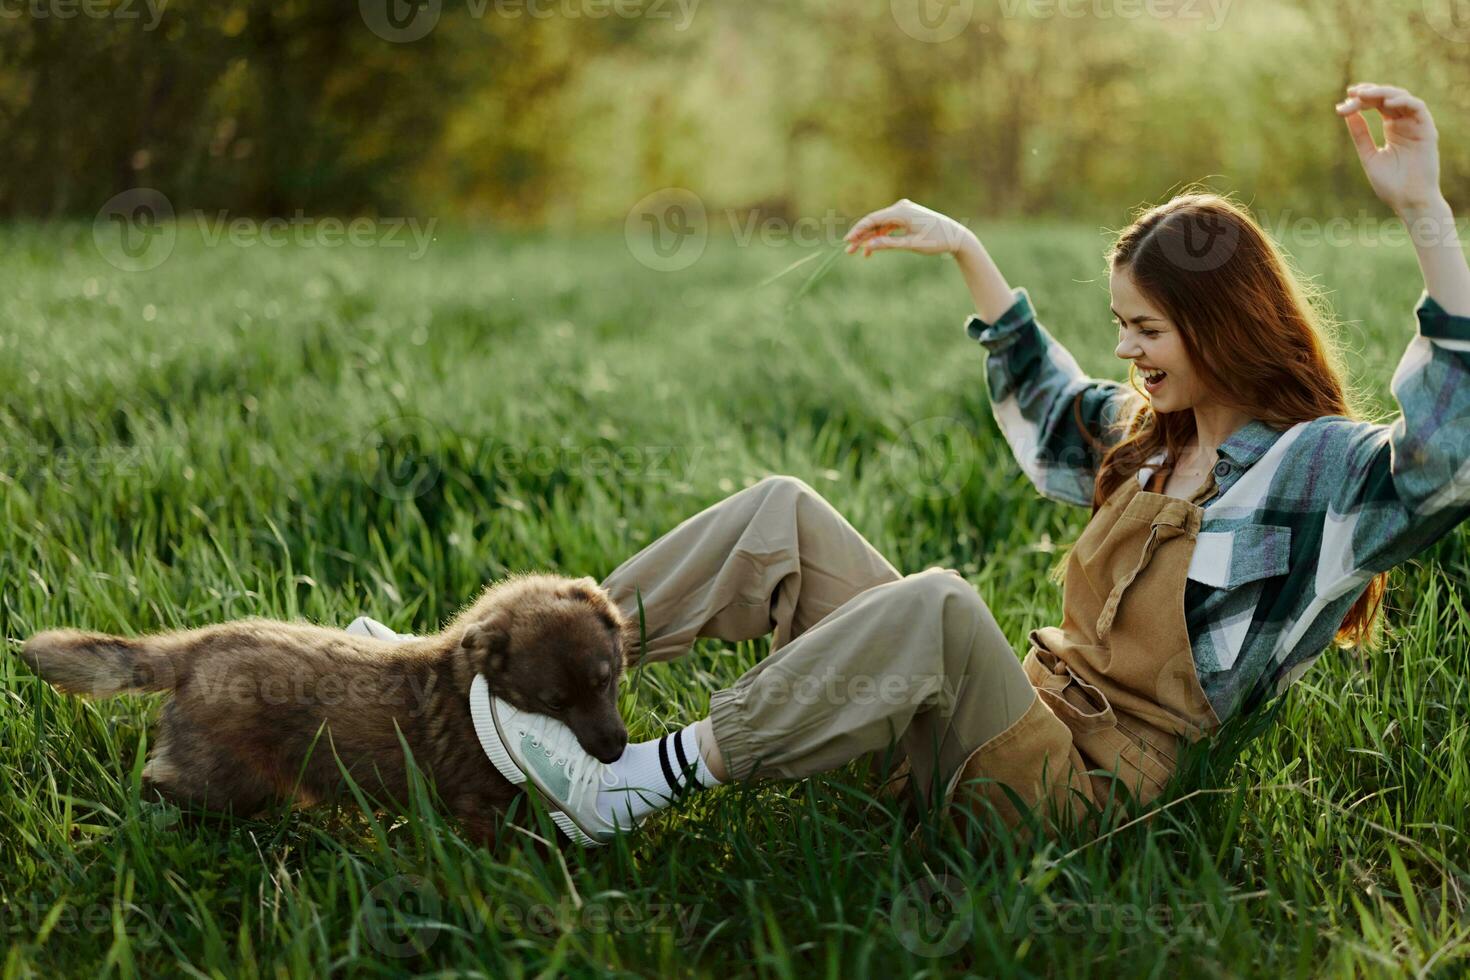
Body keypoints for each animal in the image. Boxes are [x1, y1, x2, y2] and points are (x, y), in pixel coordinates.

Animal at [18, 575, 632, 846]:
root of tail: (193, 648)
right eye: (553, 704)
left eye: (606, 681)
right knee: (159, 785)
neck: (469, 688)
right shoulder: (480, 804)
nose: (615, 751)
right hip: (225, 779)